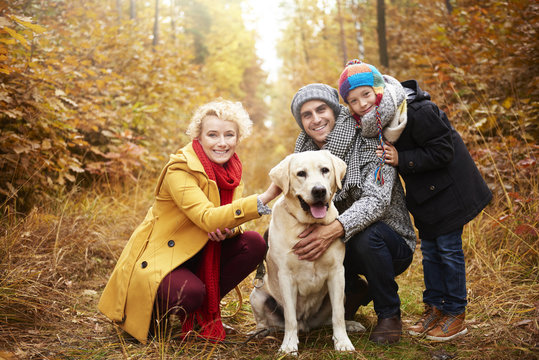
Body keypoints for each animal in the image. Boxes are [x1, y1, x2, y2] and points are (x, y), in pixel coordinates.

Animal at [251, 150, 364, 354]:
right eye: (301, 173)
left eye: (325, 170)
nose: (319, 190)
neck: (308, 224)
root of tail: (306, 324)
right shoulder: (286, 277)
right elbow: (290, 317)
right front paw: (289, 345)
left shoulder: (337, 273)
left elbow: (338, 315)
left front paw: (342, 342)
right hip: (257, 296)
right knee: (269, 323)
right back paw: (260, 332)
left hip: (338, 295)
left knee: (331, 318)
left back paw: (351, 324)